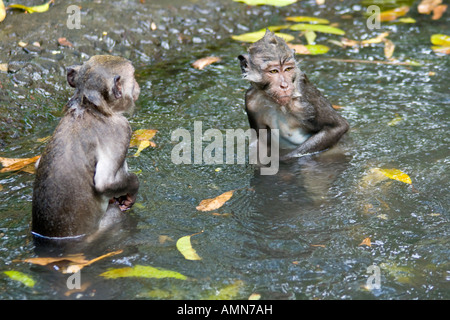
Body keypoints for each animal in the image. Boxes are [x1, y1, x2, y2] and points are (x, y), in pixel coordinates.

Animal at [31, 54, 140, 240]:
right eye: (133, 76)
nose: (138, 86)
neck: (89, 106)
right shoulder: (122, 129)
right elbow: (104, 182)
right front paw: (132, 189)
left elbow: (38, 164)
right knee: (116, 213)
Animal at [237, 29, 350, 160]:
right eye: (273, 71)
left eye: (287, 69)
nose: (284, 85)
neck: (273, 102)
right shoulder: (250, 99)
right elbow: (260, 142)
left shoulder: (304, 94)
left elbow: (338, 127)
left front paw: (284, 159)